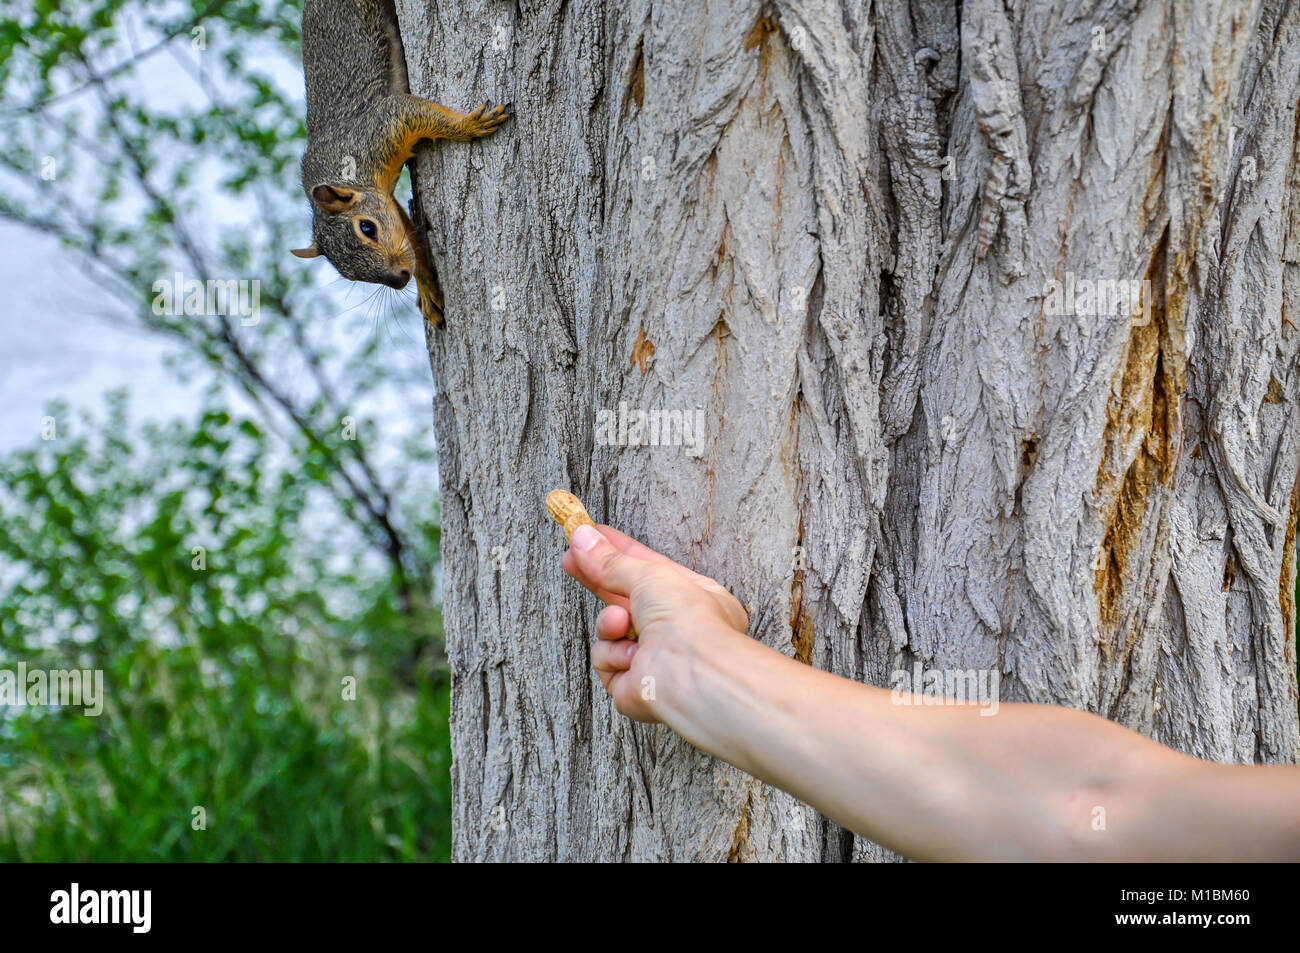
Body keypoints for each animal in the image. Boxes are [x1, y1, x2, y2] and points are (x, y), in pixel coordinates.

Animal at [292, 0, 510, 325]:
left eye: (367, 228)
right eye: (347, 275)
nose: (399, 279)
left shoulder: (380, 127)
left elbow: (414, 111)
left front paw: (467, 126)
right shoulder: (388, 201)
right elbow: (411, 235)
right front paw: (427, 288)